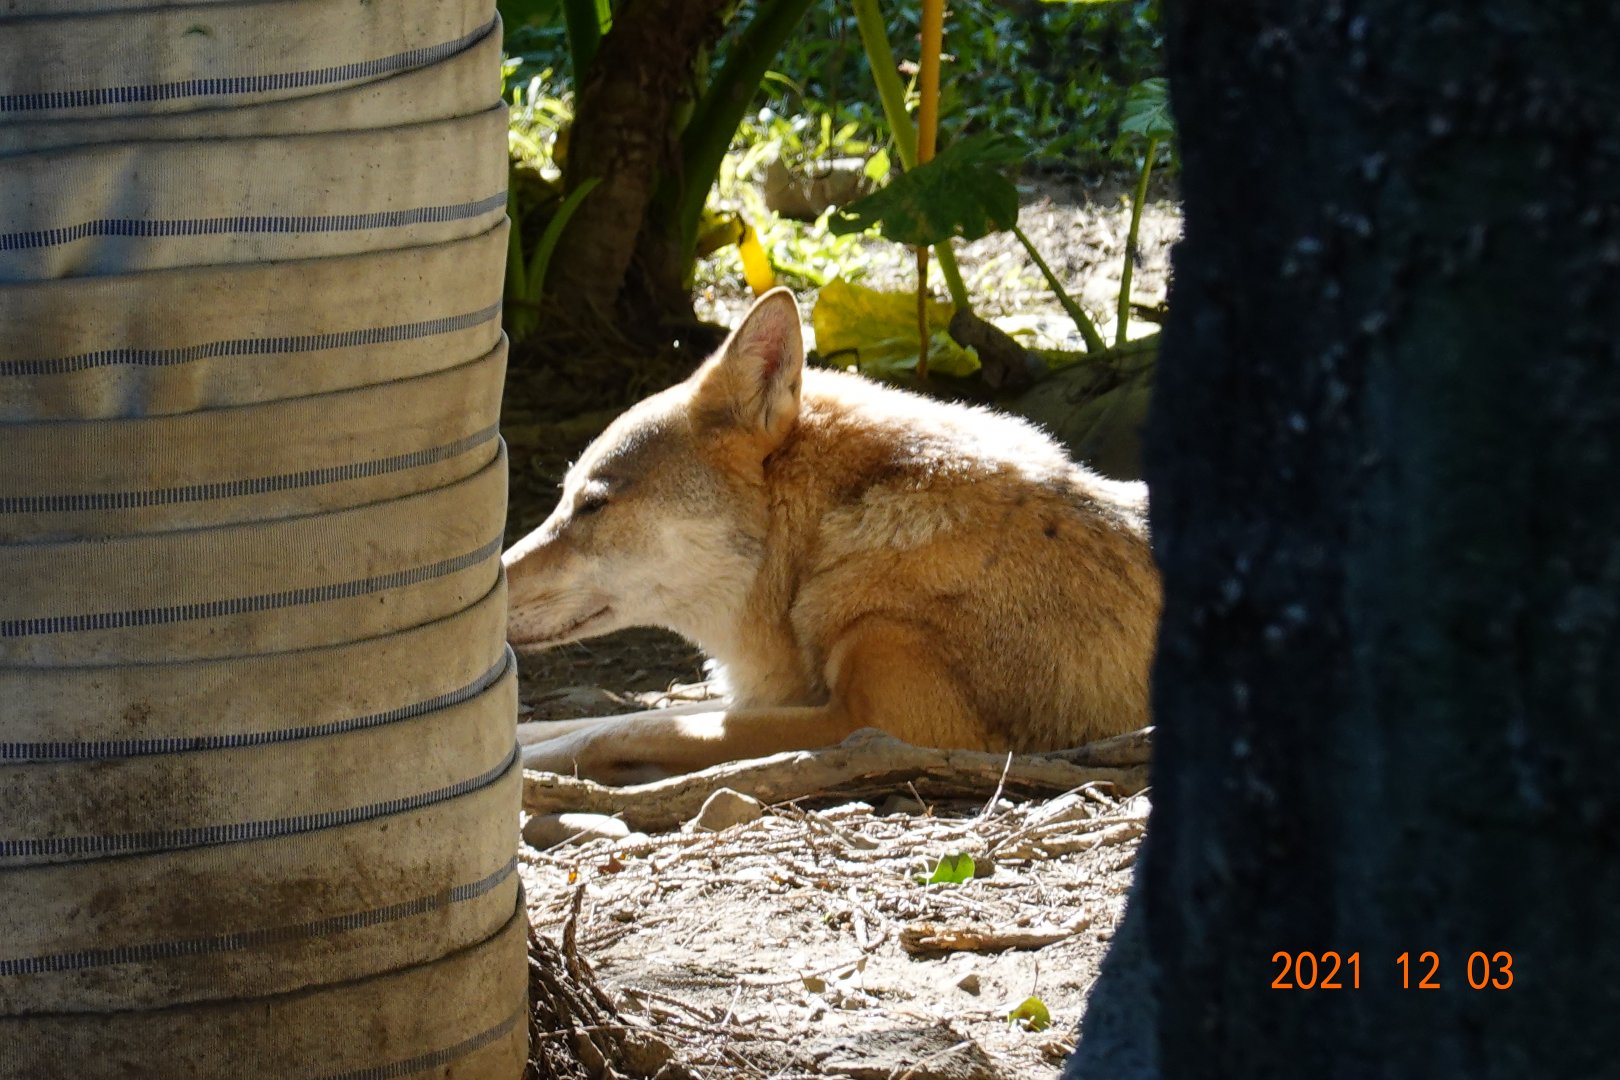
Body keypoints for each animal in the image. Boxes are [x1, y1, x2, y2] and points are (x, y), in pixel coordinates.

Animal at [504, 288, 1161, 784]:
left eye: (592, 505)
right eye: (563, 497)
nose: (490, 580)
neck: (837, 543)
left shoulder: (877, 724)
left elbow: (624, 726)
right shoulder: (790, 697)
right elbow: (584, 723)